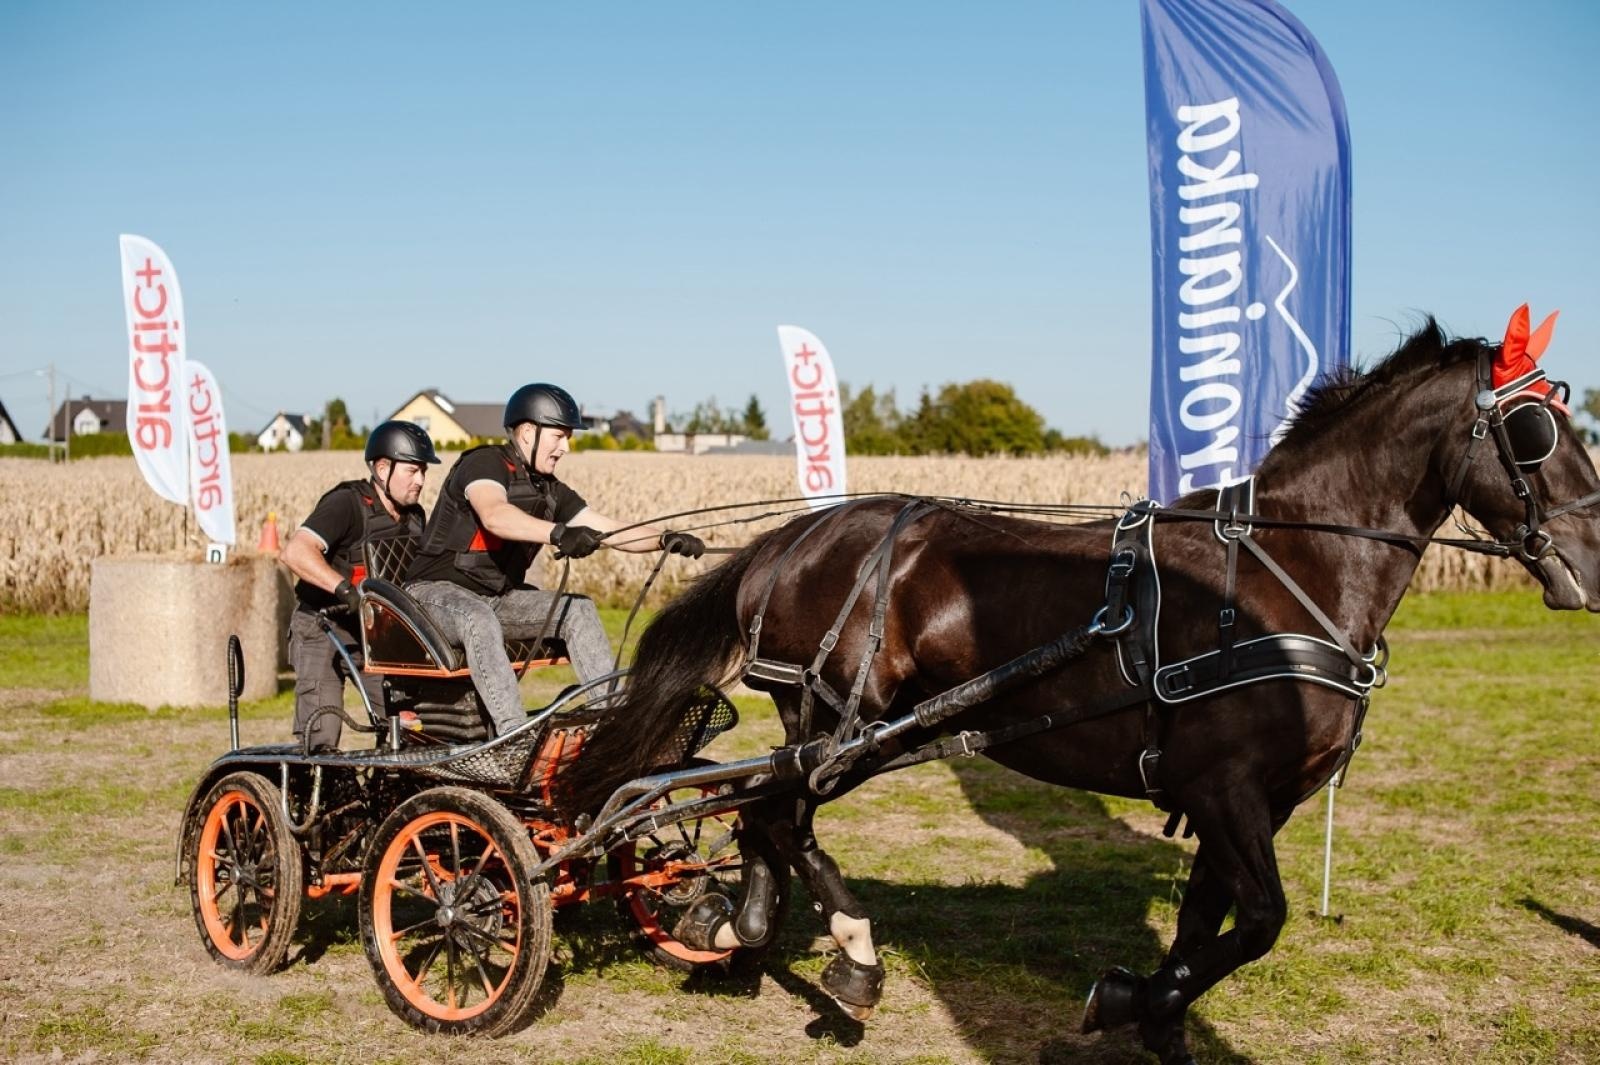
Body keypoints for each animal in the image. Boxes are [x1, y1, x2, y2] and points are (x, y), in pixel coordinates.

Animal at [561, 310, 1600, 1064]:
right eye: (1535, 429)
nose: (1593, 559)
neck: (1284, 572)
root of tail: (795, 535)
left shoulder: (1247, 799)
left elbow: (1205, 919)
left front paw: (1163, 1020)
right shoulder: (1225, 789)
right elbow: (1260, 921)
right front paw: (1127, 997)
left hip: (854, 730)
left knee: (759, 809)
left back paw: (741, 924)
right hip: (841, 723)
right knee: (773, 811)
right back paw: (845, 954)